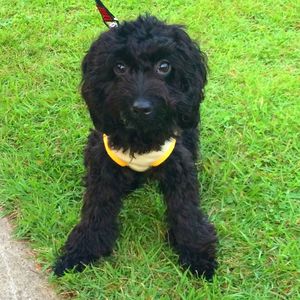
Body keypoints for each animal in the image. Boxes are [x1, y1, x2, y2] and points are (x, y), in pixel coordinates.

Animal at [54, 15, 217, 278]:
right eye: (119, 67)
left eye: (164, 66)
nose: (141, 107)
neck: (141, 137)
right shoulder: (104, 169)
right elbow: (96, 211)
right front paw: (81, 251)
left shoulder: (179, 167)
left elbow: (186, 212)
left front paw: (197, 254)